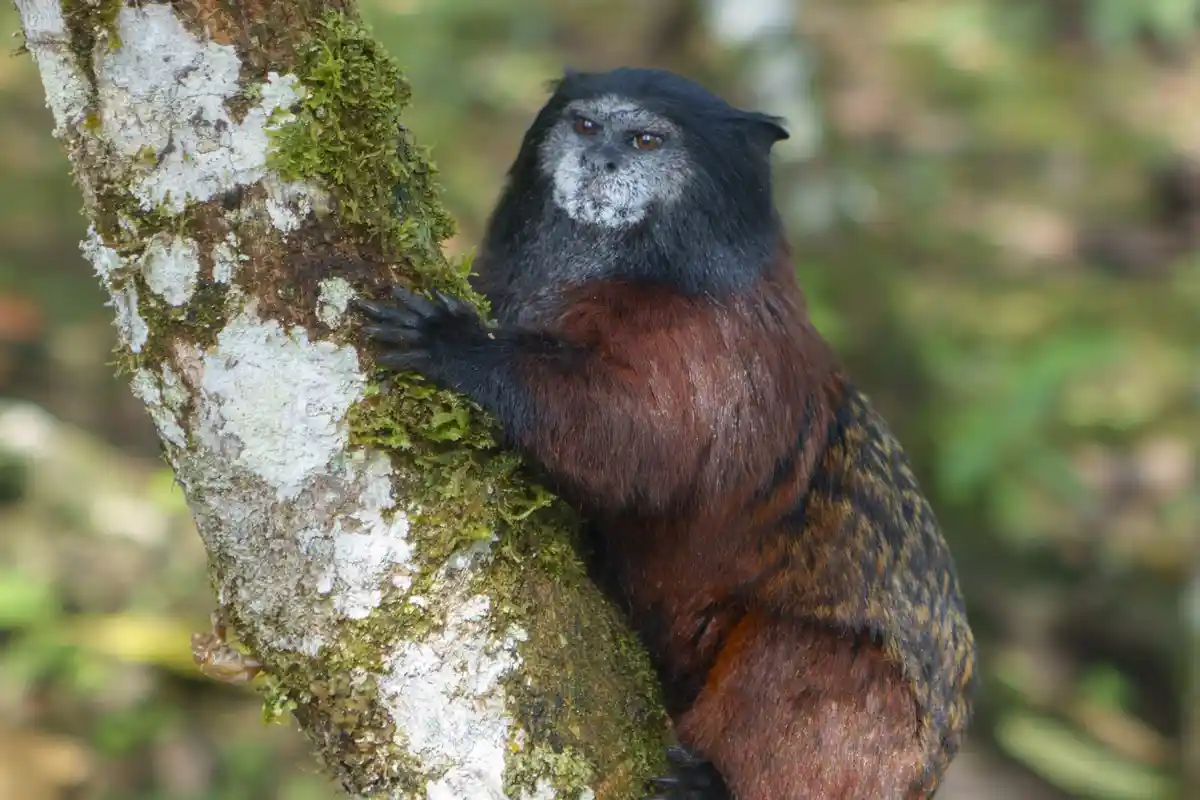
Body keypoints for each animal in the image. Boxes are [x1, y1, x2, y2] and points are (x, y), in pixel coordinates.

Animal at [355, 67, 976, 799]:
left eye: (645, 141)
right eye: (586, 126)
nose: (599, 161)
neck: (626, 266)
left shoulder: (711, 343)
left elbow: (641, 445)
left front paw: (460, 349)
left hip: (883, 741)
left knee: (807, 656)